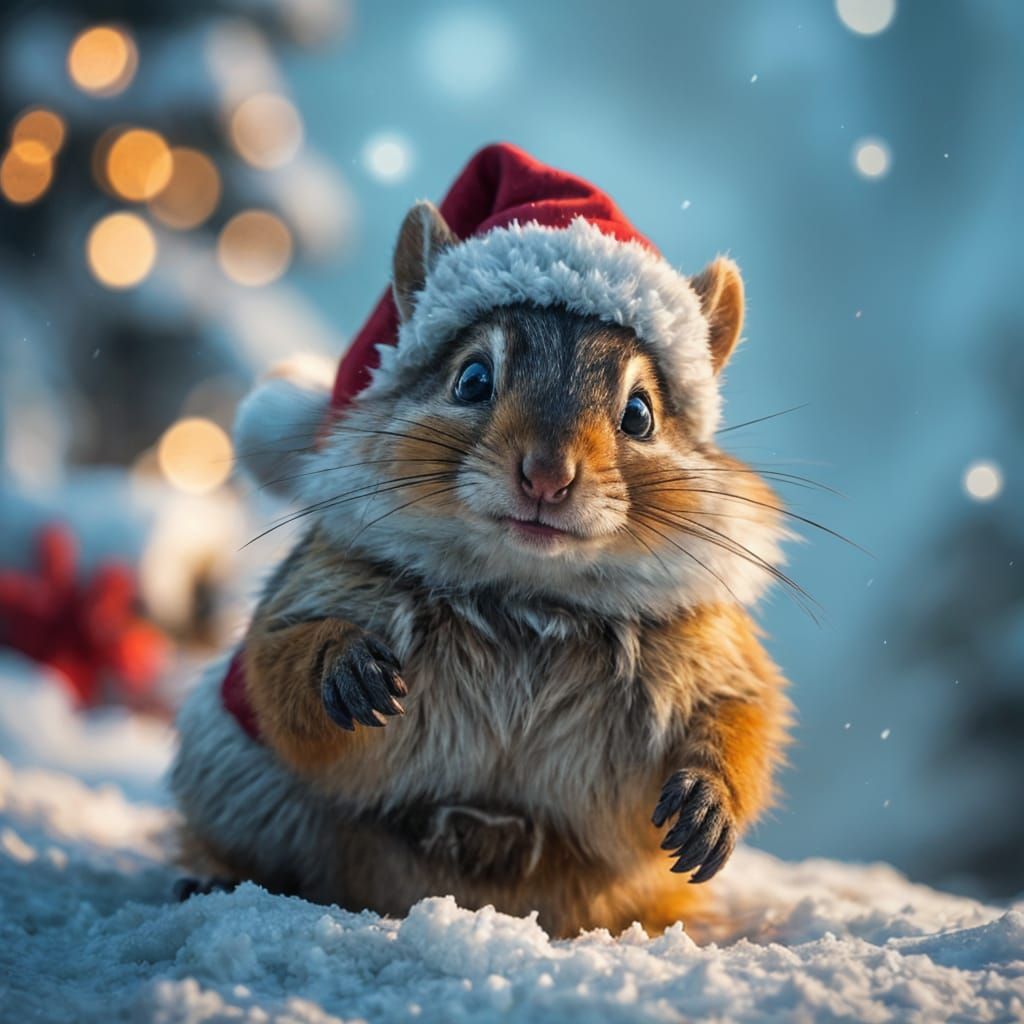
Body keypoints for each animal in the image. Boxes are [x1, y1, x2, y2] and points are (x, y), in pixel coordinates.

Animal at [170, 144, 793, 939]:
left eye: (641, 413)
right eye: (470, 378)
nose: (547, 475)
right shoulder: (314, 586)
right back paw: (211, 881)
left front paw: (710, 803)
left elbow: (743, 712)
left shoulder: (712, 649)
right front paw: (344, 666)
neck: (528, 602)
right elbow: (277, 672)